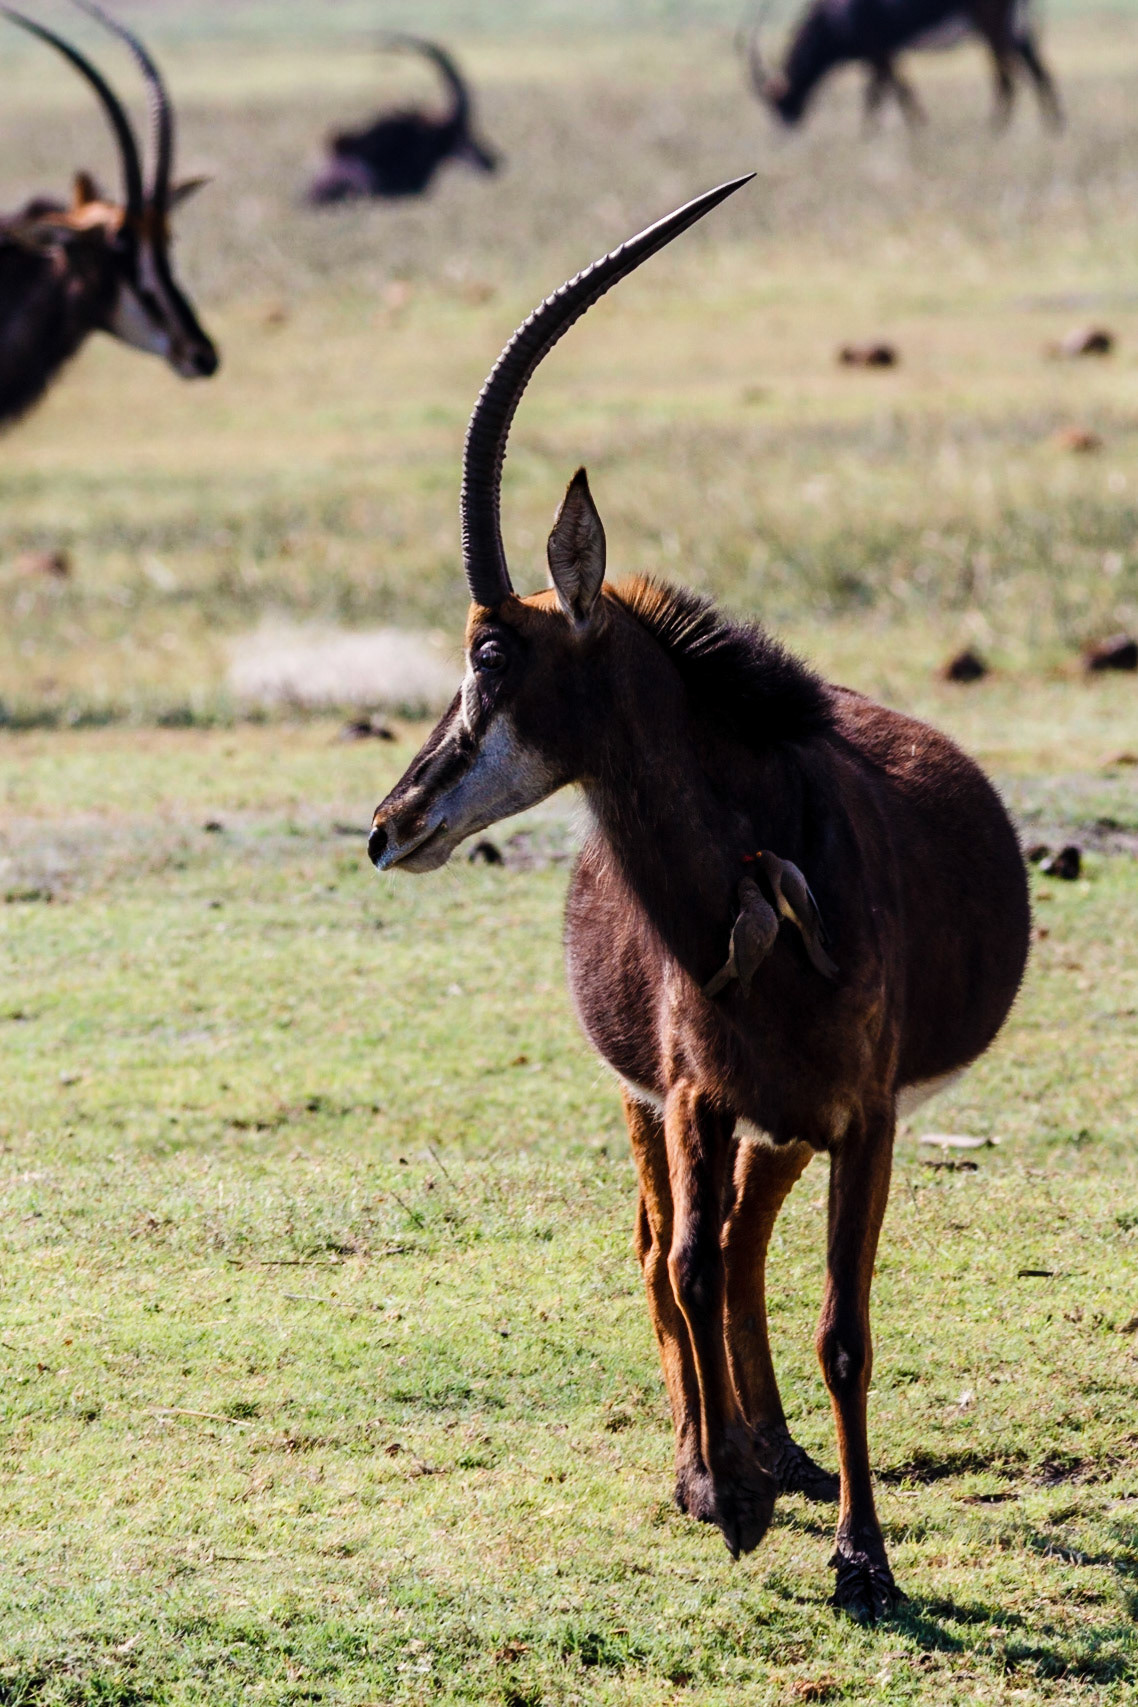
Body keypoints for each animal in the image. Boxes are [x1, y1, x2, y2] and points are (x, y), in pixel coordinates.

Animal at [368, 178, 1031, 1620]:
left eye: (491, 652)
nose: (389, 824)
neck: (761, 884)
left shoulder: (860, 1118)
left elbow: (842, 1325)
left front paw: (859, 1553)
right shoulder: (684, 1093)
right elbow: (678, 1259)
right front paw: (720, 1493)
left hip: (787, 1127)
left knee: (740, 1244)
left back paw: (777, 1449)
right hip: (666, 1105)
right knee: (674, 1244)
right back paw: (719, 1458)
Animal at [743, 0, 1063, 129]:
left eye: (779, 102)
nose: (784, 128)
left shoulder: (879, 51)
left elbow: (892, 93)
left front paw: (914, 131)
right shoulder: (883, 55)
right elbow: (882, 93)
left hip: (992, 27)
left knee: (1006, 77)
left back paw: (995, 131)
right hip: (1014, 29)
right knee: (1038, 70)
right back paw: (1053, 128)